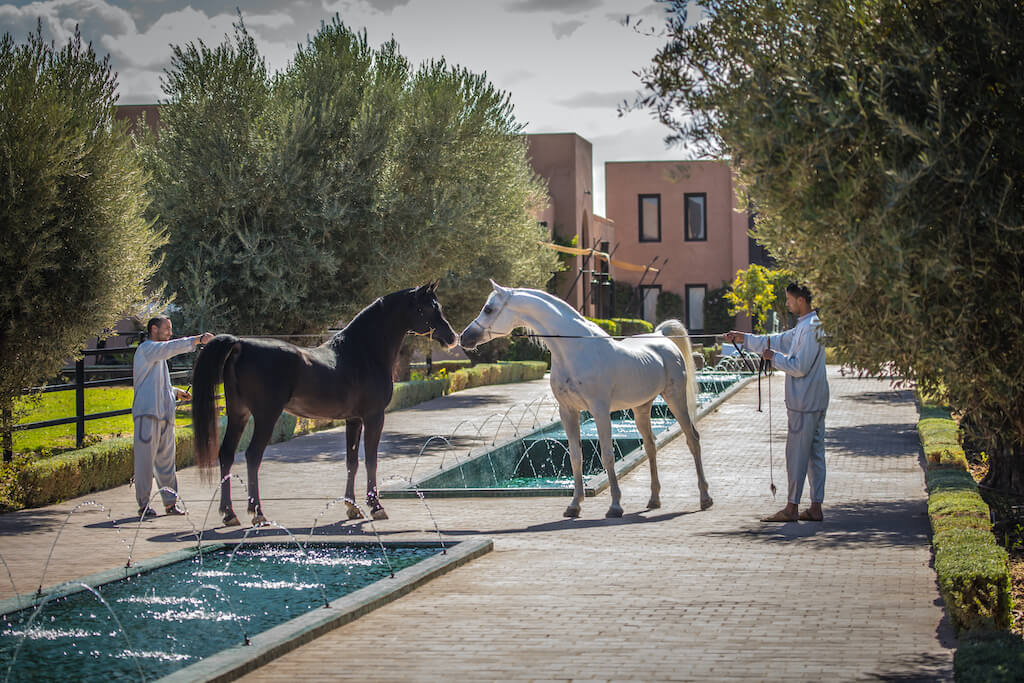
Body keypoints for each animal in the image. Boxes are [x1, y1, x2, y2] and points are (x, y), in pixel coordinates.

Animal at [191, 283, 458, 526]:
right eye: (429, 307)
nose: (452, 337)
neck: (362, 352)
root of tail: (240, 344)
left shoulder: (354, 419)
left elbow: (352, 462)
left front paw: (352, 507)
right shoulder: (374, 417)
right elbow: (371, 459)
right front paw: (376, 506)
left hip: (239, 414)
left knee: (226, 454)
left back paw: (229, 514)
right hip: (266, 415)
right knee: (252, 456)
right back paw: (257, 513)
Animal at [459, 281, 711, 518]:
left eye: (489, 309)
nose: (465, 338)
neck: (575, 348)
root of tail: (661, 337)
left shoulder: (600, 411)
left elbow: (607, 456)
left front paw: (615, 506)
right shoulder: (568, 411)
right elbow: (575, 457)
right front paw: (574, 505)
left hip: (675, 398)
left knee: (693, 439)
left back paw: (705, 498)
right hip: (641, 407)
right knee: (650, 446)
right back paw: (654, 500)